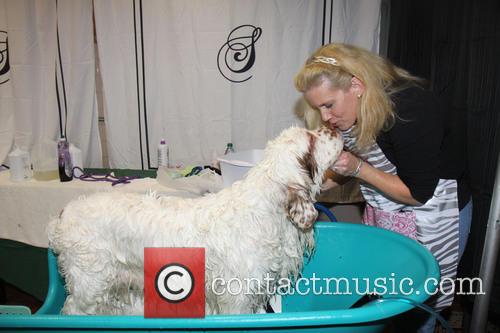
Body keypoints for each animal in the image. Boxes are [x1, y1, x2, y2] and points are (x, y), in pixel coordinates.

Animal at [47, 124, 344, 314]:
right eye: (311, 140)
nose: (334, 128)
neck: (264, 210)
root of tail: (64, 214)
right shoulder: (236, 297)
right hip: (89, 285)